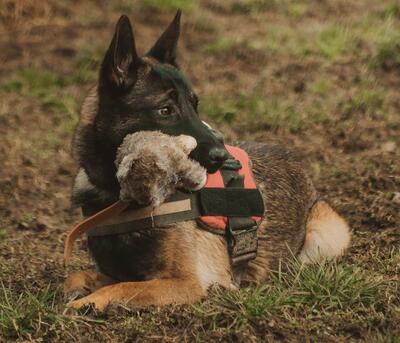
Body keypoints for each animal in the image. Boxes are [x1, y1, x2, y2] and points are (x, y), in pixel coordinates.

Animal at [64, 10, 352, 312]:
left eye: (195, 105)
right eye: (165, 110)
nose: (223, 155)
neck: (121, 200)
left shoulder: (186, 282)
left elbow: (123, 287)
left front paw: (87, 303)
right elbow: (79, 274)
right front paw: (78, 292)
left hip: (325, 235)